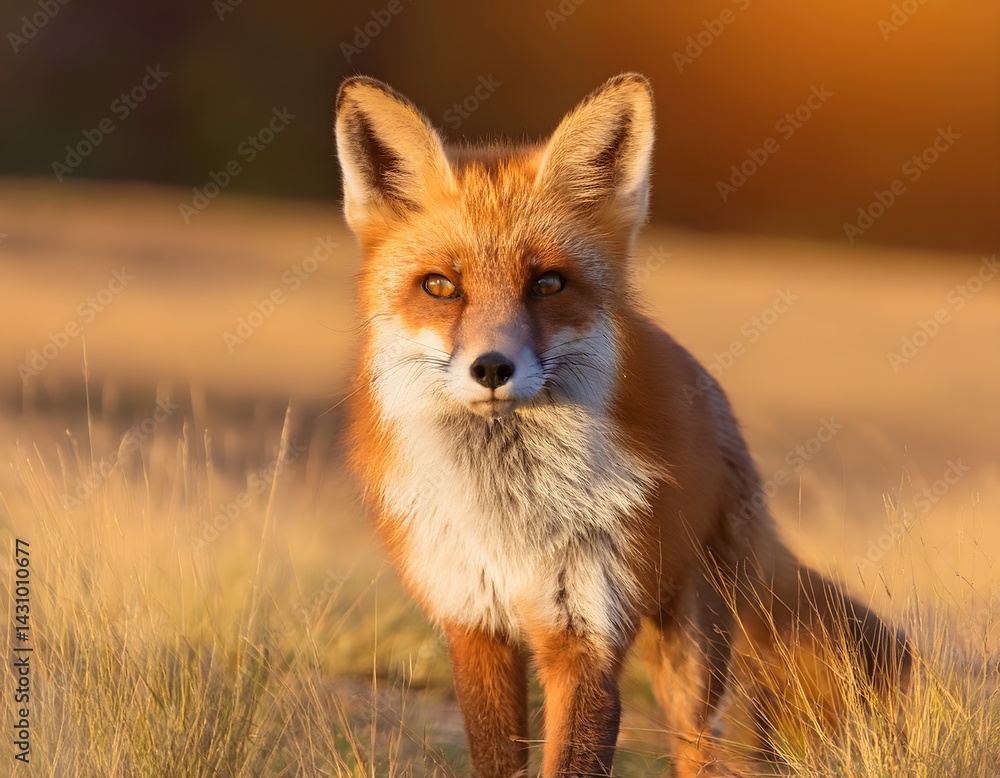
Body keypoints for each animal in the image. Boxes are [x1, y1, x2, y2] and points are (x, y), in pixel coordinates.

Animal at [334, 73, 910, 777]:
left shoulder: (588, 629)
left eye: (548, 283)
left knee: (704, 746)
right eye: (440, 286)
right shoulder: (473, 624)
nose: (492, 367)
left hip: (694, 650)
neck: (509, 518)